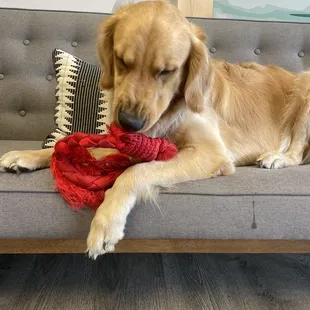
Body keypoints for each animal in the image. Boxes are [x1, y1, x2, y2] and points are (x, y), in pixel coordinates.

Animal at [0, 1, 310, 258]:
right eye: (122, 61)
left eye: (166, 71)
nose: (129, 122)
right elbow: (76, 144)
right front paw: (27, 155)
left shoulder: (210, 152)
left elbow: (135, 171)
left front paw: (106, 222)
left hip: (305, 91)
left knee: (296, 152)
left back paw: (276, 157)